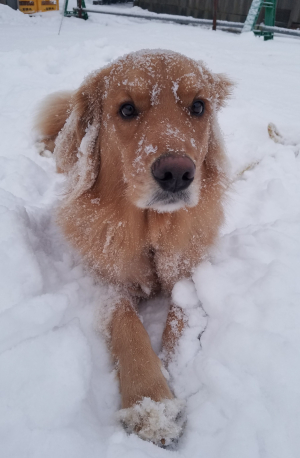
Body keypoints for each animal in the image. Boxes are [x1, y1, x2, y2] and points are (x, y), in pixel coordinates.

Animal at [34, 50, 232, 448]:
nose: (177, 173)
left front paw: (172, 366)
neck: (150, 230)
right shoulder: (110, 285)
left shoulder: (189, 273)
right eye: (126, 110)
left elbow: (179, 318)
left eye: (198, 106)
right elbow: (127, 325)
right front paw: (151, 402)